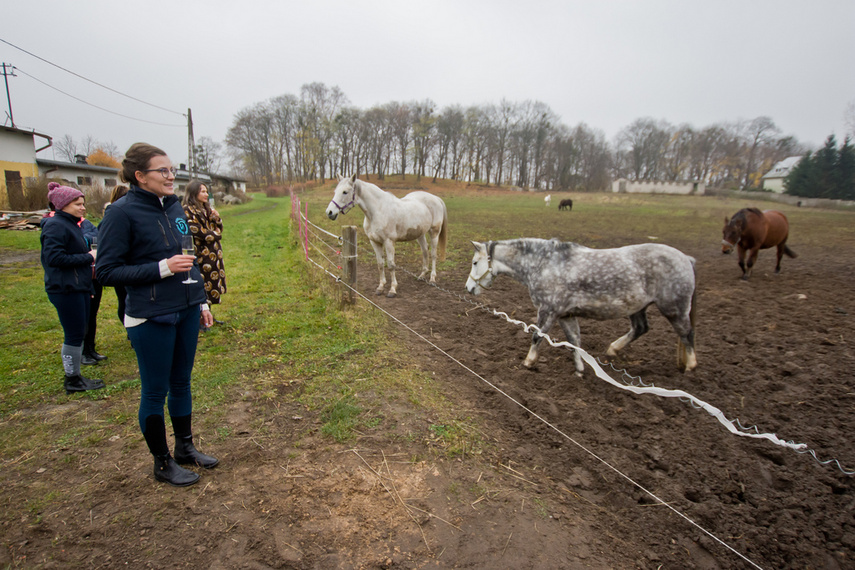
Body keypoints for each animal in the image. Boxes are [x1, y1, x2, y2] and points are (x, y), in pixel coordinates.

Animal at [464, 236, 700, 372]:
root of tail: (687, 259)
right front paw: (579, 368)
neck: (543, 264)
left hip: (674, 310)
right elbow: (574, 341)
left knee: (687, 334)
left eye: (475, 262)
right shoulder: (565, 316)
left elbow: (537, 336)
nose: (468, 288)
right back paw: (613, 349)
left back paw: (691, 366)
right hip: (638, 308)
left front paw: (528, 362)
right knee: (641, 328)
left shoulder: (548, 311)